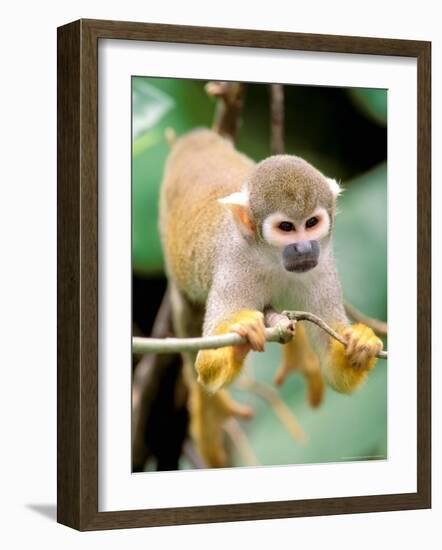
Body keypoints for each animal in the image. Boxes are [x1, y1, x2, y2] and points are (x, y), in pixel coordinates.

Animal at [160, 128, 384, 466]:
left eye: (312, 223)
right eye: (287, 227)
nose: (303, 248)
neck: (271, 258)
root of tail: (195, 141)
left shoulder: (323, 265)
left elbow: (336, 372)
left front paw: (361, 344)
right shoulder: (233, 267)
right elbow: (207, 361)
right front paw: (242, 333)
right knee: (188, 325)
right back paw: (211, 409)